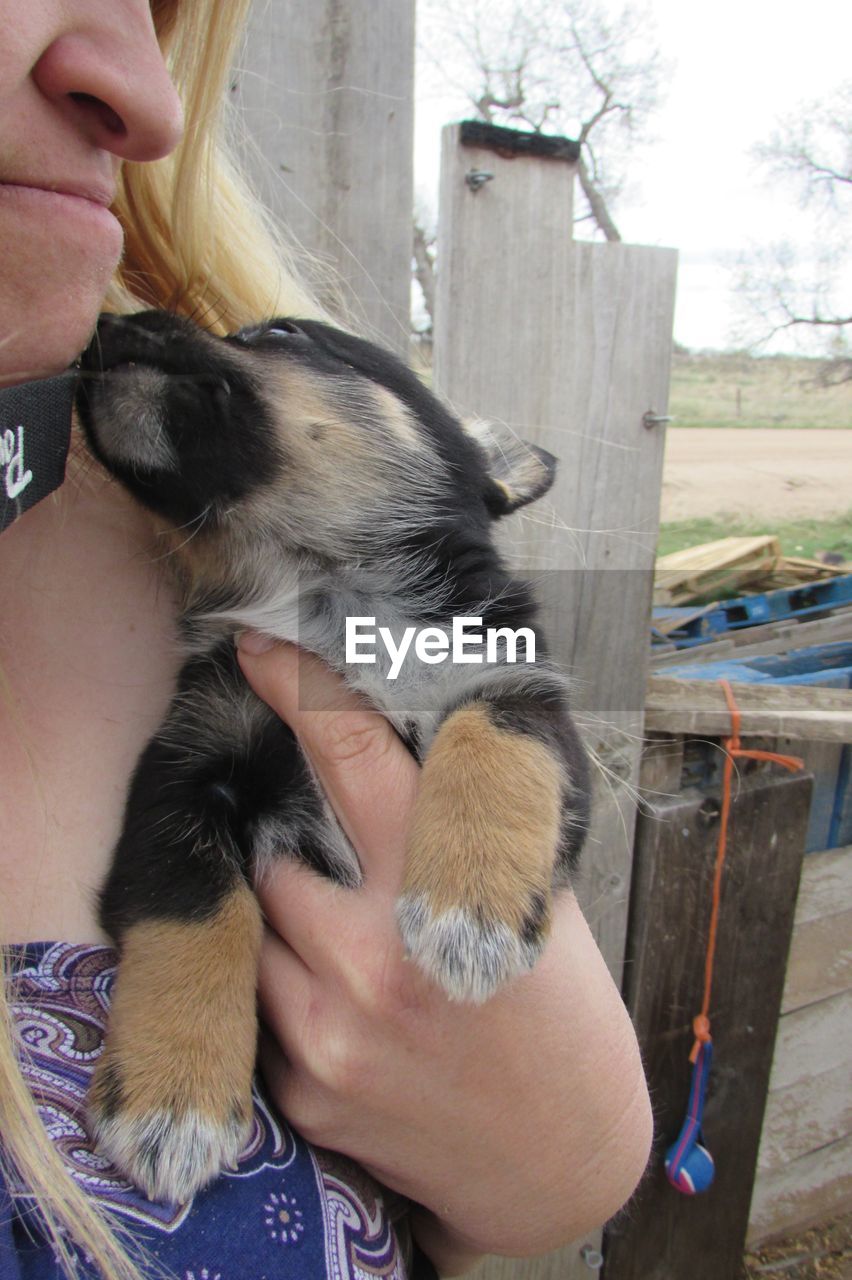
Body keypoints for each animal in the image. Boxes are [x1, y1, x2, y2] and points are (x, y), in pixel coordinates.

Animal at [76, 309, 588, 1198]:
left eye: (284, 332)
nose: (111, 319)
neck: (323, 600)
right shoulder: (186, 764)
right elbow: (196, 909)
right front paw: (175, 1097)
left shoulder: (526, 692)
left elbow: (492, 732)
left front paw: (469, 908)